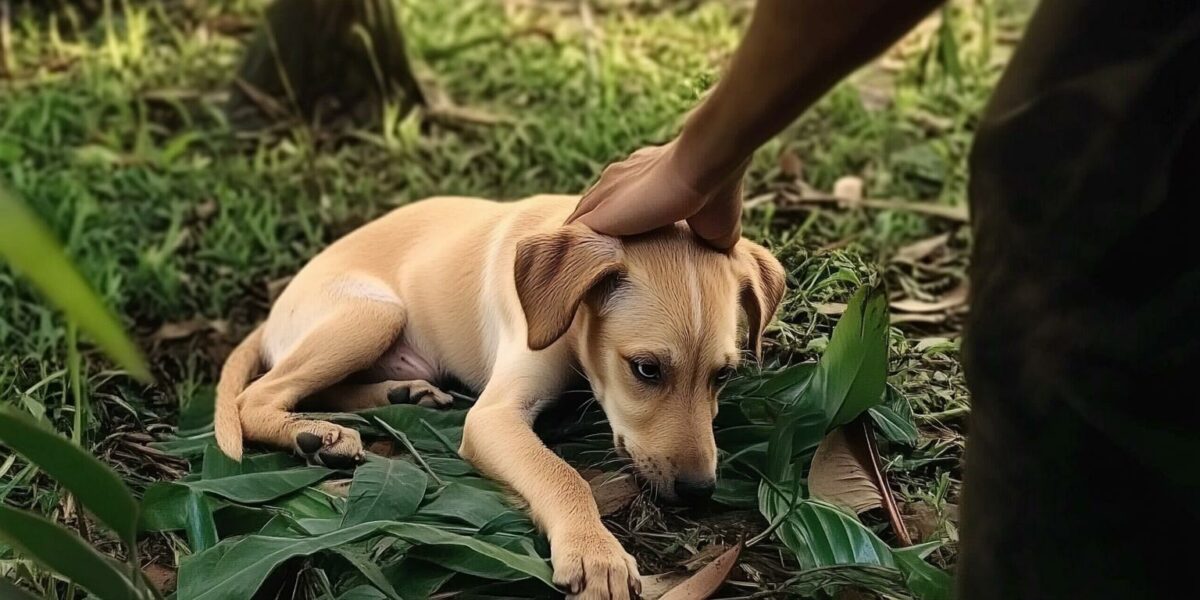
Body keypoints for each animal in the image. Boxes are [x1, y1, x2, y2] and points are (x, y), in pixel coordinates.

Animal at [213, 194, 787, 597]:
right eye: (646, 370)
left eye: (723, 376)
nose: (698, 491)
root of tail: (271, 314)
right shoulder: (491, 417)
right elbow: (561, 474)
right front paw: (595, 552)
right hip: (372, 313)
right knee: (254, 398)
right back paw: (314, 434)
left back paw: (399, 394)